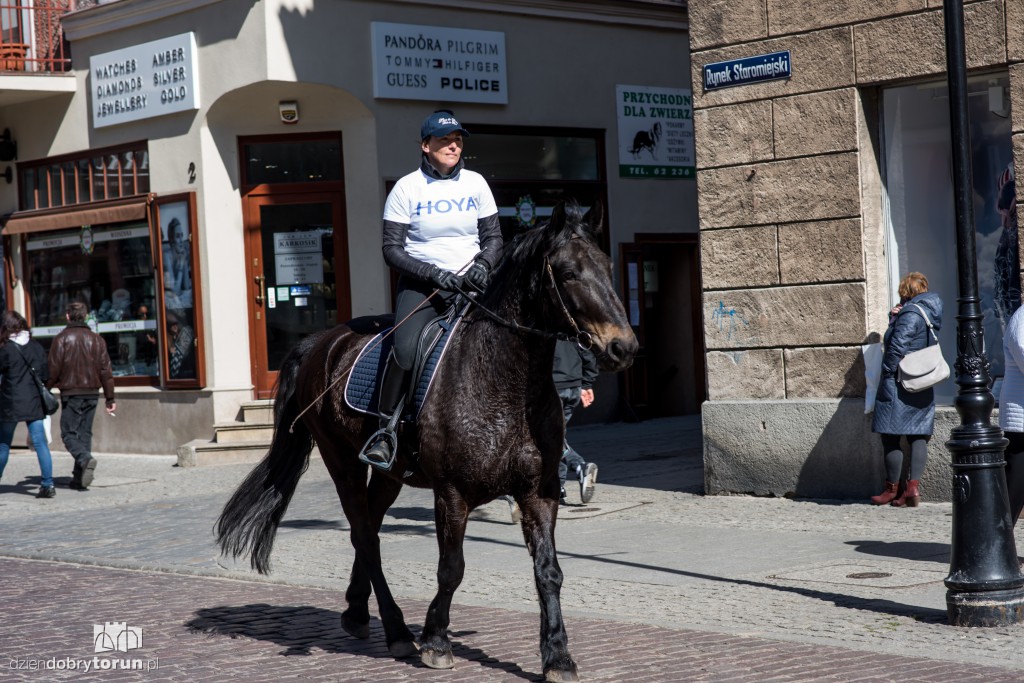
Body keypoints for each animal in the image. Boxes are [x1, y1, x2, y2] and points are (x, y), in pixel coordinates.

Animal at [216, 198, 634, 683]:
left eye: (607, 266)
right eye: (567, 273)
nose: (624, 347)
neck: (505, 382)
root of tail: (321, 341)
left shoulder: (540, 491)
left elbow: (548, 571)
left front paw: (558, 656)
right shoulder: (452, 493)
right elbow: (451, 569)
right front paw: (436, 641)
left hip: (389, 476)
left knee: (368, 528)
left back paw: (357, 613)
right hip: (342, 463)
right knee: (365, 536)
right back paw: (397, 630)